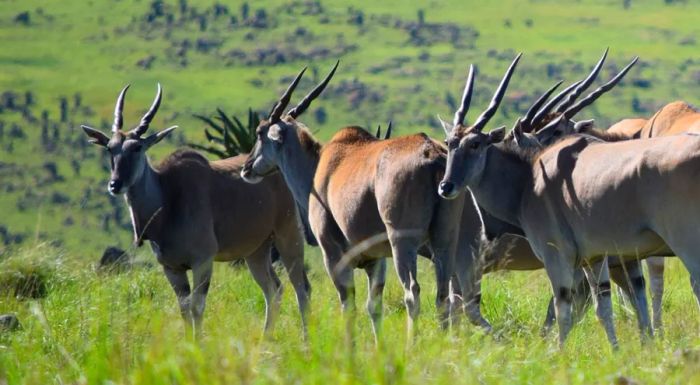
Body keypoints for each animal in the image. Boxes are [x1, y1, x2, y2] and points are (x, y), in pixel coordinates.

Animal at [242, 60, 482, 340]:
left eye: (260, 132)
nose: (246, 167)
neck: (320, 166)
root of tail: (432, 154)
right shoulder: (375, 261)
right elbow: (373, 306)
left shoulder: (333, 254)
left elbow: (349, 305)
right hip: (443, 240)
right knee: (445, 295)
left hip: (403, 243)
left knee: (413, 293)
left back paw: (412, 344)